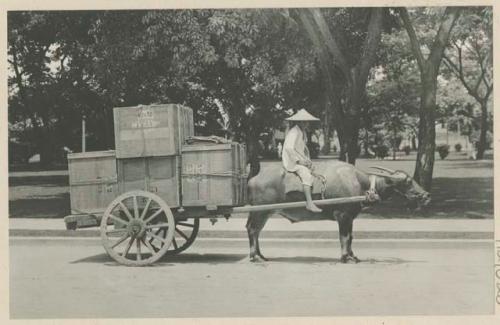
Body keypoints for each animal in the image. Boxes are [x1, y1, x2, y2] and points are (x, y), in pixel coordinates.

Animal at [245, 161, 430, 262]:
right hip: (260, 212)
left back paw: (260, 255)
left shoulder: (351, 218)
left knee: (254, 230)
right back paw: (254, 256)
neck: (360, 184)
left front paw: (353, 256)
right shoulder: (343, 216)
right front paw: (344, 257)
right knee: (253, 230)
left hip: (263, 213)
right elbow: (344, 237)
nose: (426, 195)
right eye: (408, 182)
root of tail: (253, 179)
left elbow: (351, 237)